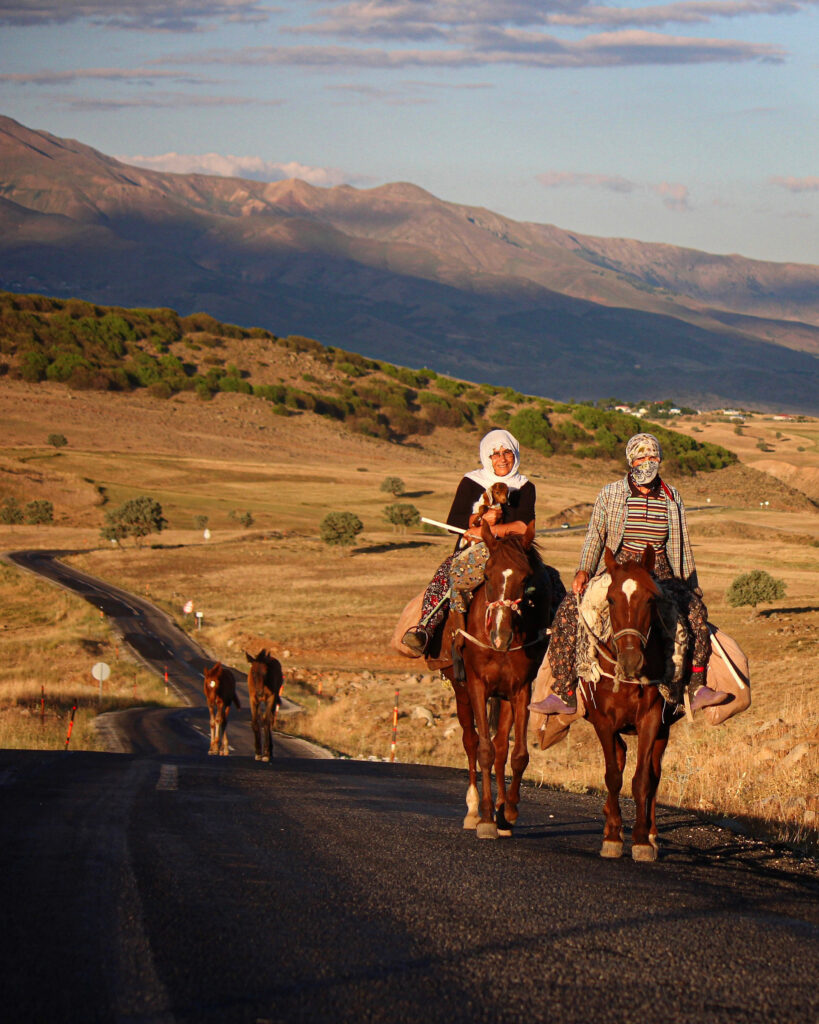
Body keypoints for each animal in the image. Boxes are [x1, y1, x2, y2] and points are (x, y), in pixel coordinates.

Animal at [448, 520, 556, 839]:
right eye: (486, 575)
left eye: (526, 578)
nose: (500, 635)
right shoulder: (477, 686)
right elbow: (482, 750)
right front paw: (486, 819)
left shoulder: (520, 690)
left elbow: (517, 754)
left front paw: (507, 812)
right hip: (461, 692)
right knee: (471, 742)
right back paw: (474, 810)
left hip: (504, 697)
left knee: (500, 749)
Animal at [581, 548, 679, 860]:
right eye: (611, 599)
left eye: (650, 599)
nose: (631, 660)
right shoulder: (603, 721)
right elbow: (613, 775)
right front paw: (612, 837)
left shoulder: (650, 720)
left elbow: (643, 780)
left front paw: (641, 840)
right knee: (621, 756)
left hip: (663, 732)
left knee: (654, 774)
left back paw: (652, 833)